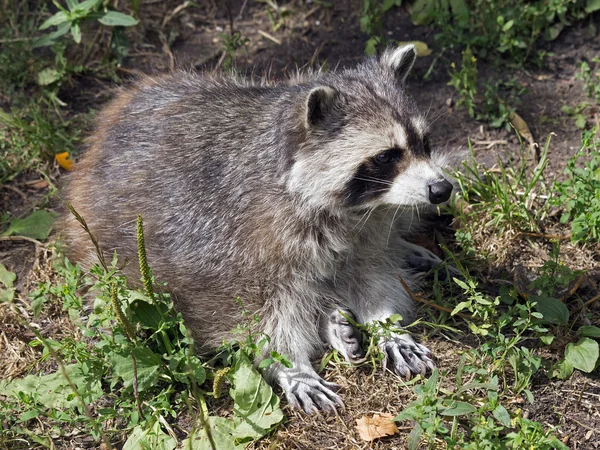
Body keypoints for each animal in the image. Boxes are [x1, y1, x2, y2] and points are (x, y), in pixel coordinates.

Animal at [63, 44, 452, 414]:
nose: (441, 189)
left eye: (424, 143)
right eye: (386, 156)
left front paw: (387, 324)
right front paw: (290, 365)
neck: (356, 210)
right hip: (104, 247)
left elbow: (373, 270)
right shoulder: (231, 238)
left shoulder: (368, 228)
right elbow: (251, 313)